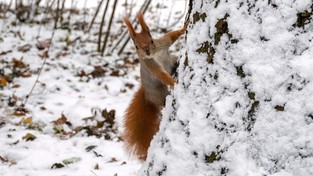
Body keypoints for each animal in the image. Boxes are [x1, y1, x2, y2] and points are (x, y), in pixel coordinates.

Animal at [122, 11, 188, 160]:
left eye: (151, 40)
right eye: (136, 46)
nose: (146, 51)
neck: (155, 54)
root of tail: (147, 95)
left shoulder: (162, 43)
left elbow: (171, 35)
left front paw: (184, 27)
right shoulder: (151, 66)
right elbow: (162, 75)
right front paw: (174, 83)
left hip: (172, 60)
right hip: (158, 95)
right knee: (162, 102)